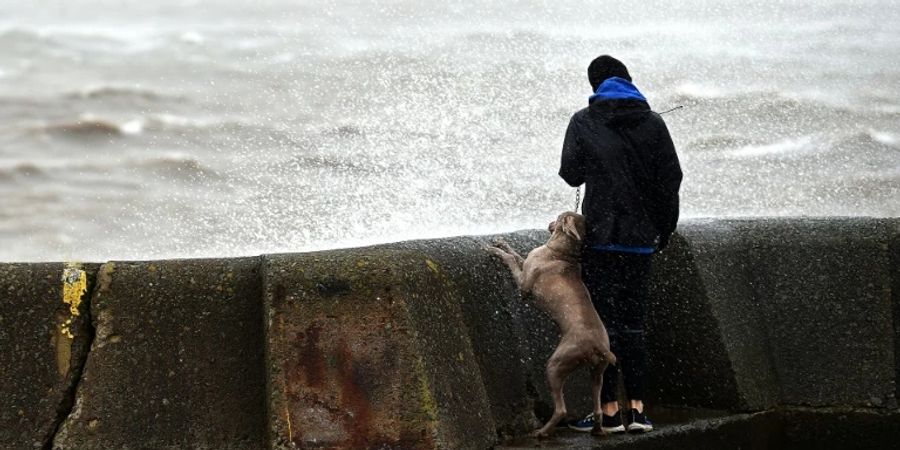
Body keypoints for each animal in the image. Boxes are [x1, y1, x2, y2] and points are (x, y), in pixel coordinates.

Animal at [486, 213, 620, 438]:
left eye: (558, 217)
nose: (548, 223)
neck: (561, 252)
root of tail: (599, 347)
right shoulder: (528, 263)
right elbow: (516, 254)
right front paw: (500, 242)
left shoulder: (524, 286)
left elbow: (512, 260)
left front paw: (493, 250)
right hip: (597, 372)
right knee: (598, 408)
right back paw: (597, 430)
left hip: (556, 364)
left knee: (561, 409)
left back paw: (542, 432)